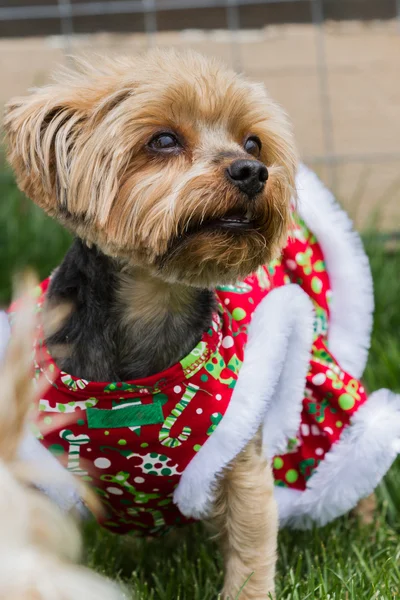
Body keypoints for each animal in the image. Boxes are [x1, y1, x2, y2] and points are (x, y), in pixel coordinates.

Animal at [3, 48, 400, 600]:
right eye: (163, 140)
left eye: (253, 141)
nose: (254, 171)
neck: (155, 303)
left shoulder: (240, 463)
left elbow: (250, 553)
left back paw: (366, 529)